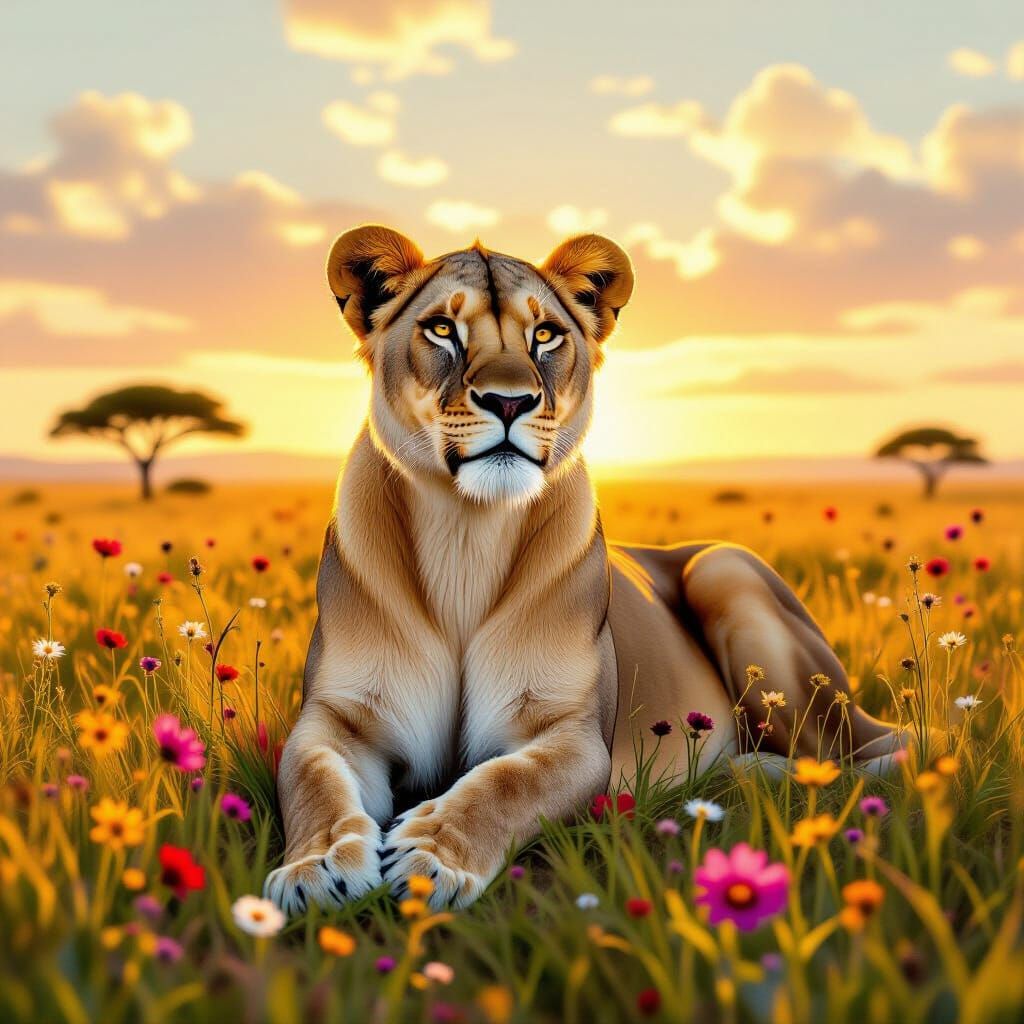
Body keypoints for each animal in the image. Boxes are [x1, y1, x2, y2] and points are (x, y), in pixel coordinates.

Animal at [264, 226, 900, 914]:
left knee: (872, 751)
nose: (510, 401)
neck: (466, 532)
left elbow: (508, 782)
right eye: (441, 329)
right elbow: (314, 783)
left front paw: (431, 856)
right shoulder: (338, 718)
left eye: (545, 335)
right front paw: (316, 868)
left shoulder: (573, 734)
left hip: (727, 576)